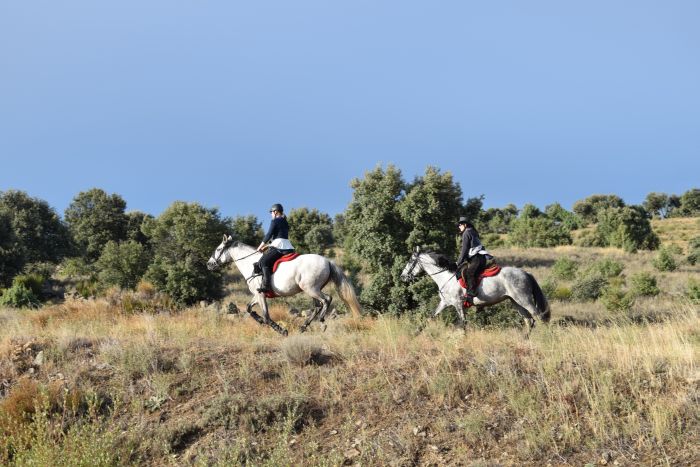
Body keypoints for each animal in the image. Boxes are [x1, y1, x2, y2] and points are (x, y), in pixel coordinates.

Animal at [206, 238, 360, 336]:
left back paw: (322, 322)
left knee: (327, 299)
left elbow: (266, 316)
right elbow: (249, 309)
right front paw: (259, 320)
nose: (209, 264)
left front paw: (281, 330)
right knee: (317, 306)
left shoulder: (261, 294)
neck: (250, 263)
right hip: (312, 289)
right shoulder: (257, 295)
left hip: (311, 289)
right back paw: (303, 327)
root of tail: (327, 261)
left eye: (218, 249)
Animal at [402, 247, 548, 334]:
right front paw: (415, 334)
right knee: (529, 320)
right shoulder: (445, 303)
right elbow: (429, 317)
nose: (402, 276)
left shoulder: (458, 304)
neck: (445, 277)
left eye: (410, 261)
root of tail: (526, 273)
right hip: (515, 302)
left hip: (524, 300)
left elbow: (462, 324)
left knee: (539, 317)